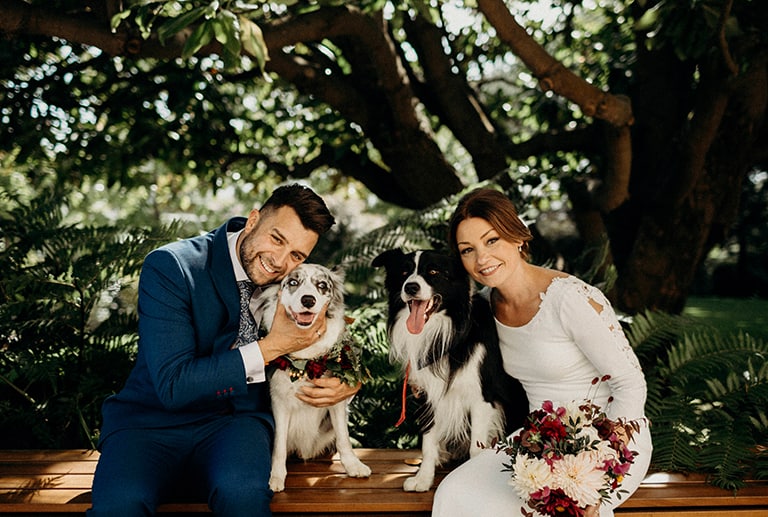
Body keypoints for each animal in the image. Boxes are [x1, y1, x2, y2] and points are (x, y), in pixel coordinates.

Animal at [372, 248, 528, 490]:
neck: (446, 332)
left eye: (434, 272)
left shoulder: (482, 398)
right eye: (404, 272)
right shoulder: (428, 396)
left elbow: (476, 447)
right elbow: (428, 442)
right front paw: (423, 479)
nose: (410, 287)